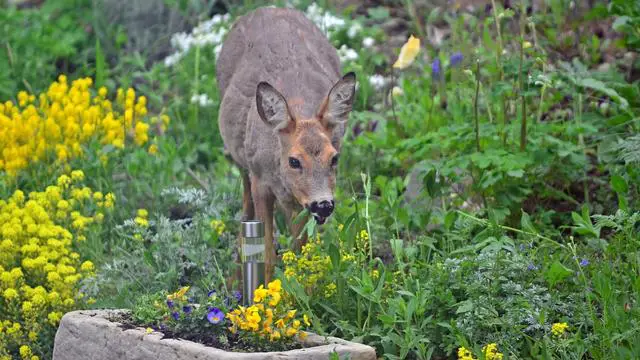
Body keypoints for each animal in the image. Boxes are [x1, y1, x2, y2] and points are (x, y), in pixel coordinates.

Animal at [214, 5, 356, 286]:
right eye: (294, 160)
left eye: (334, 158)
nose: (324, 204)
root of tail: (268, 7)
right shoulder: (261, 181)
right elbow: (267, 252)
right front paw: (265, 291)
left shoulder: (300, 202)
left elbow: (301, 251)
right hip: (242, 160)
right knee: (245, 204)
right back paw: (235, 275)